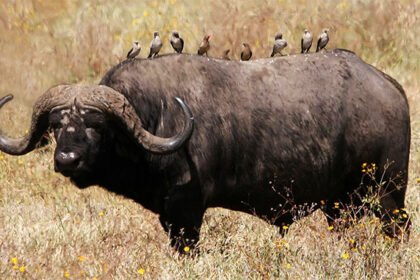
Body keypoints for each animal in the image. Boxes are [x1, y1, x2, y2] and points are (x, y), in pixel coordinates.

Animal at [0, 48, 410, 252]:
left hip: (388, 194)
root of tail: (388, 86)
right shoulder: (168, 215)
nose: (66, 160)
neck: (155, 117)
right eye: (57, 126)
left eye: (96, 126)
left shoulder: (187, 211)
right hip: (340, 207)